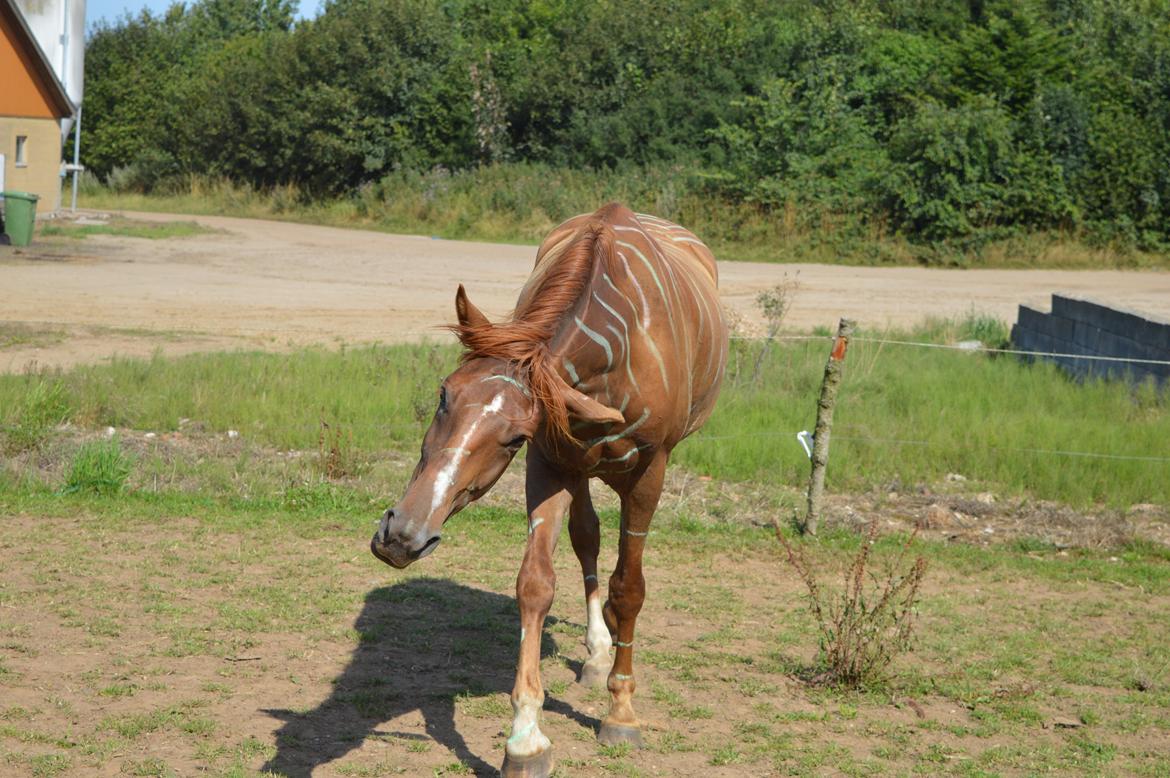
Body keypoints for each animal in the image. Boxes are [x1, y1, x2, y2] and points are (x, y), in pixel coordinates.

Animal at [369, 201, 725, 776]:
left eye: (513, 434)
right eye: (444, 394)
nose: (401, 535)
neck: (614, 354)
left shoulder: (650, 469)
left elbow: (630, 587)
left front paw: (621, 712)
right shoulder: (551, 458)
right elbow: (535, 583)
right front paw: (526, 737)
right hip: (579, 467)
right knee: (587, 537)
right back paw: (597, 650)